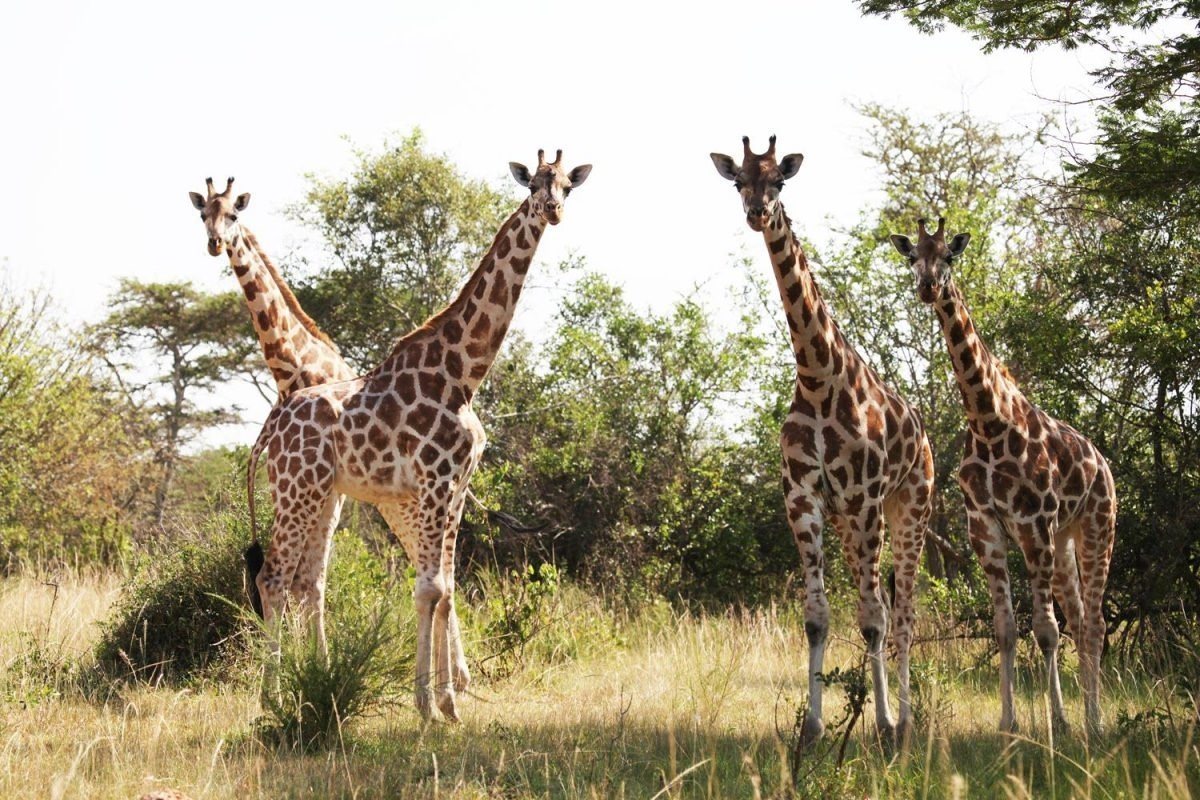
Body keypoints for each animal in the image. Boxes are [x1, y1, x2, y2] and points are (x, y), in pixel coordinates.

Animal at [244, 146, 590, 724]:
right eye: (533, 183)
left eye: (567, 184)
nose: (554, 210)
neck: (463, 372)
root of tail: (273, 424)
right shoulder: (434, 480)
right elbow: (428, 589)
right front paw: (428, 706)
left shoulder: (456, 486)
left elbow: (445, 589)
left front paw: (448, 702)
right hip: (297, 489)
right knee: (272, 578)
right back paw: (271, 698)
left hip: (323, 494)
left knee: (302, 581)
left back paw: (307, 683)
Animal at [710, 136, 936, 743]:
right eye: (738, 180)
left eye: (779, 181)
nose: (756, 212)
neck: (816, 376)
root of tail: (926, 435)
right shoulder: (803, 499)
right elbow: (817, 617)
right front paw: (811, 728)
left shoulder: (862, 499)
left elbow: (874, 617)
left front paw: (881, 721)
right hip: (848, 522)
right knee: (879, 601)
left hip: (908, 509)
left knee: (901, 610)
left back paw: (906, 719)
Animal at [888, 215, 1118, 734]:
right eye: (913, 257)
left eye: (948, 256)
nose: (928, 286)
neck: (987, 421)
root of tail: (1104, 464)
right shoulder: (986, 527)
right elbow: (1006, 629)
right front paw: (1009, 722)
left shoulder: (1034, 524)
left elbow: (1046, 631)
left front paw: (1057, 724)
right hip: (1065, 538)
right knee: (1080, 618)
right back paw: (1090, 714)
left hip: (1097, 526)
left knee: (1094, 622)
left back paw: (1095, 722)